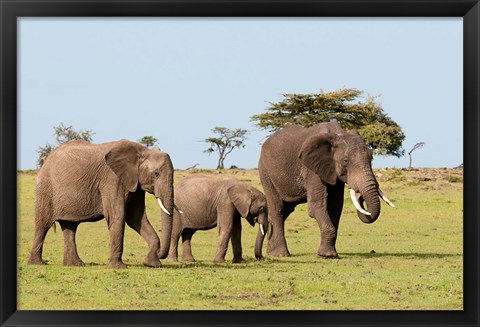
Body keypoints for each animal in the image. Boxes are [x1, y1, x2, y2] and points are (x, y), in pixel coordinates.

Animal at [28, 138, 175, 270]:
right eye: (156, 174)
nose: (160, 254)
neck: (142, 150)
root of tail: (47, 159)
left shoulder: (135, 185)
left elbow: (136, 218)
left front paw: (152, 264)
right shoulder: (112, 179)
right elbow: (118, 215)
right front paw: (118, 268)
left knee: (70, 226)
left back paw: (74, 265)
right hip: (45, 189)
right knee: (43, 224)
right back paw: (36, 264)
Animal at [258, 121, 394, 260]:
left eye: (371, 158)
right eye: (346, 161)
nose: (361, 198)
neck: (338, 134)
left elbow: (335, 206)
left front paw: (329, 254)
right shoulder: (312, 169)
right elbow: (317, 206)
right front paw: (327, 255)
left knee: (286, 210)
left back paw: (271, 252)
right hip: (265, 173)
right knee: (278, 209)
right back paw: (281, 254)